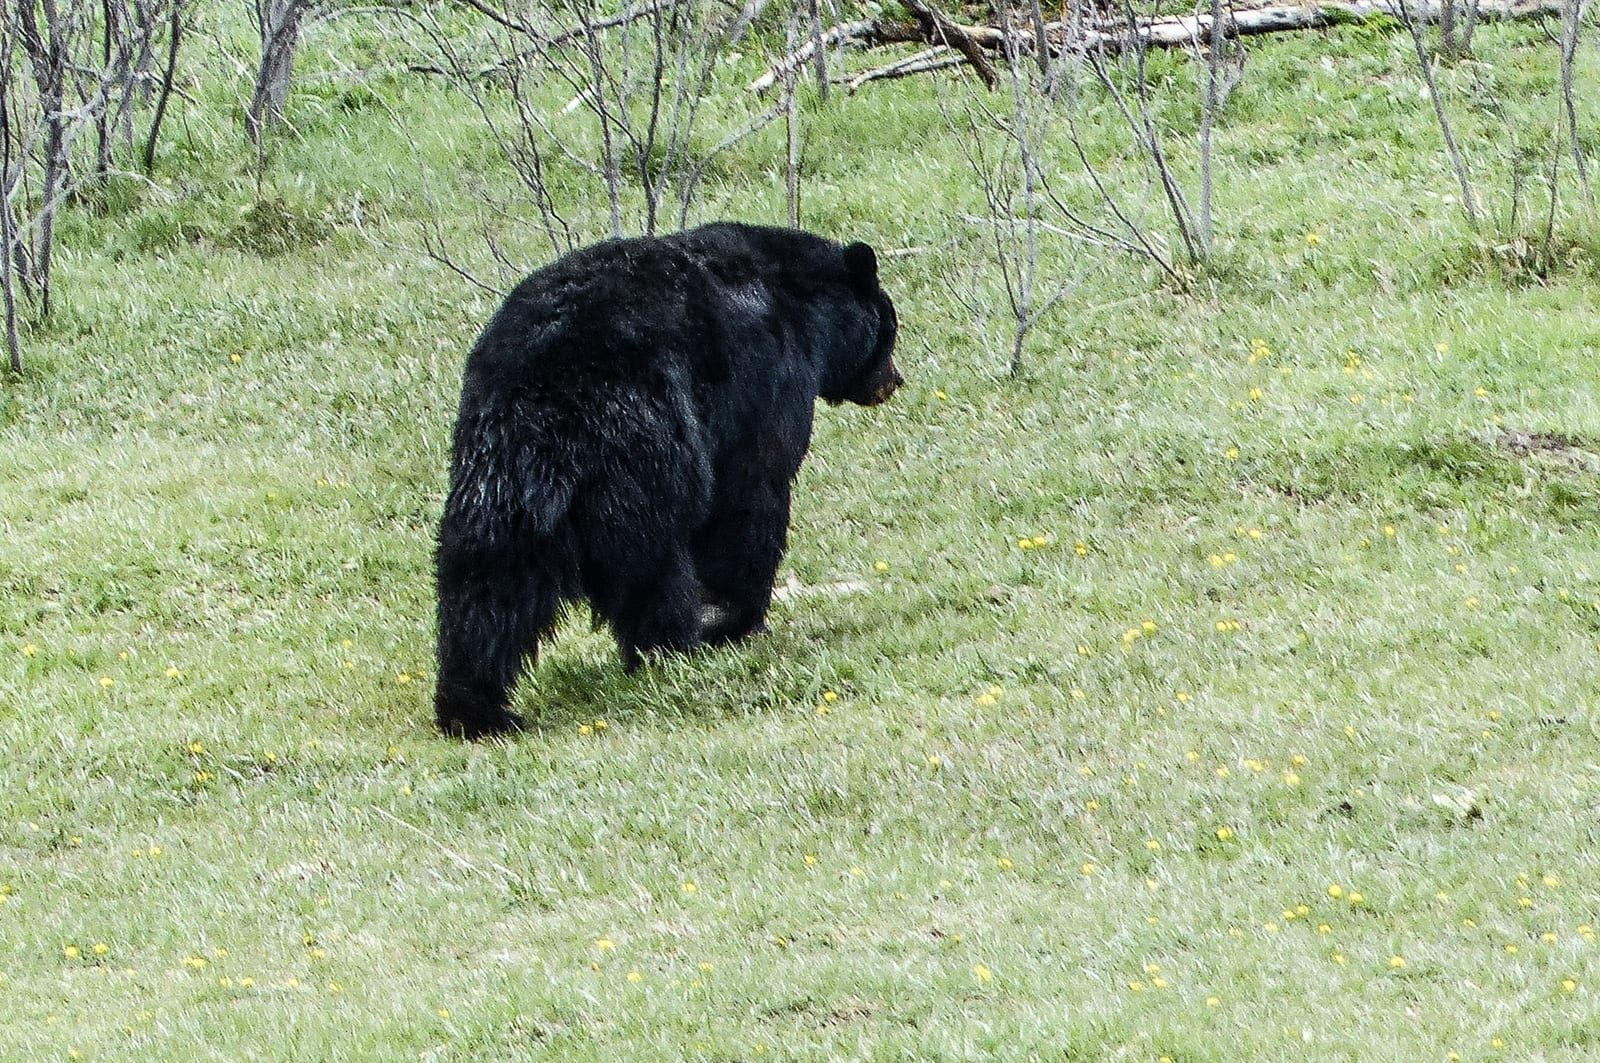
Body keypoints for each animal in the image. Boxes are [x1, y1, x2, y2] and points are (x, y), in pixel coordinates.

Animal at [433, 222, 902, 738]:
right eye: (890, 327)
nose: (894, 380)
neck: (799, 302)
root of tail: (543, 394)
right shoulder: (768, 380)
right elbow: (751, 495)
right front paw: (734, 613)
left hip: (496, 472)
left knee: (487, 576)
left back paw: (474, 707)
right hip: (640, 446)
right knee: (652, 565)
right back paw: (674, 648)